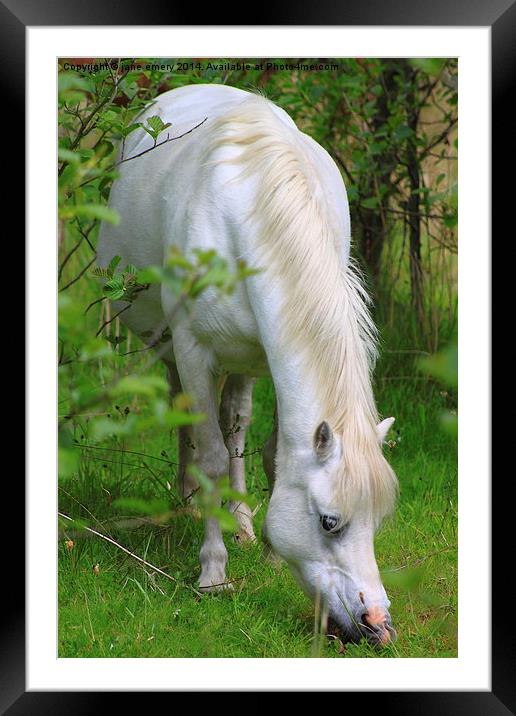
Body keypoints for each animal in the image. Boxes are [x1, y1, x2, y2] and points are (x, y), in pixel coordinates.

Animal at [100, 82, 400, 644]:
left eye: (378, 520)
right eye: (329, 522)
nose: (376, 625)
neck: (251, 211)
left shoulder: (272, 355)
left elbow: (267, 453)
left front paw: (267, 550)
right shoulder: (193, 348)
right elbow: (213, 455)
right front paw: (213, 573)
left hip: (245, 359)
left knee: (234, 421)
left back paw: (237, 519)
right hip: (169, 344)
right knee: (189, 417)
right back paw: (187, 497)